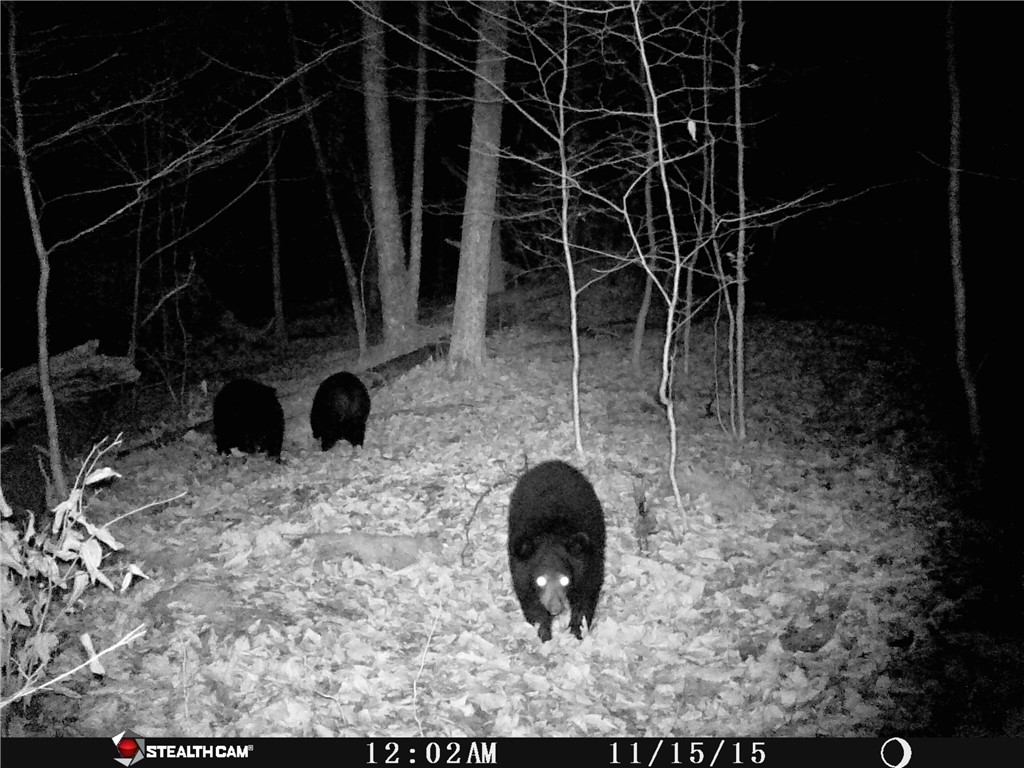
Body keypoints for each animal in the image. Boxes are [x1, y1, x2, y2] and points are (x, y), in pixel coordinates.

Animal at [507, 460, 606, 642]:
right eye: (540, 581)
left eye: (565, 580)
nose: (555, 608)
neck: (551, 534)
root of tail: (552, 463)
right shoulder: (520, 571)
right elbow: (531, 602)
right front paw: (544, 633)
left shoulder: (588, 565)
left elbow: (585, 597)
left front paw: (576, 631)